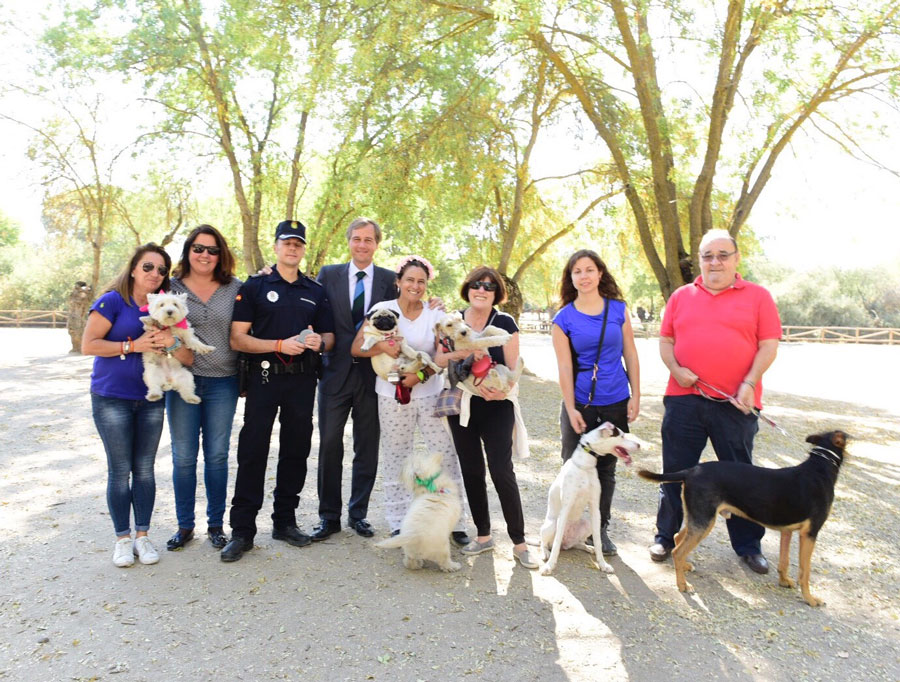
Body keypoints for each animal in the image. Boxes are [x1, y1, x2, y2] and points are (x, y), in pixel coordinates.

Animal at [540, 420, 640, 572]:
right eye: (622, 436)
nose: (639, 445)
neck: (585, 466)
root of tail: (566, 542)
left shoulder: (595, 508)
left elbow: (598, 541)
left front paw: (603, 564)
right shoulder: (566, 508)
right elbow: (556, 543)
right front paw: (549, 566)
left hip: (586, 525)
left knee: (576, 544)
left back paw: (587, 548)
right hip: (551, 525)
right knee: (546, 543)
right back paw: (546, 553)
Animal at [640, 430, 844, 604]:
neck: (819, 467)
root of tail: (691, 470)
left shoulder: (787, 531)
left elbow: (784, 562)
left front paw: (784, 581)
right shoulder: (810, 534)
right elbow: (805, 571)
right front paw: (810, 599)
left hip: (698, 518)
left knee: (677, 538)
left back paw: (684, 567)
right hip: (704, 522)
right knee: (677, 551)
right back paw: (682, 585)